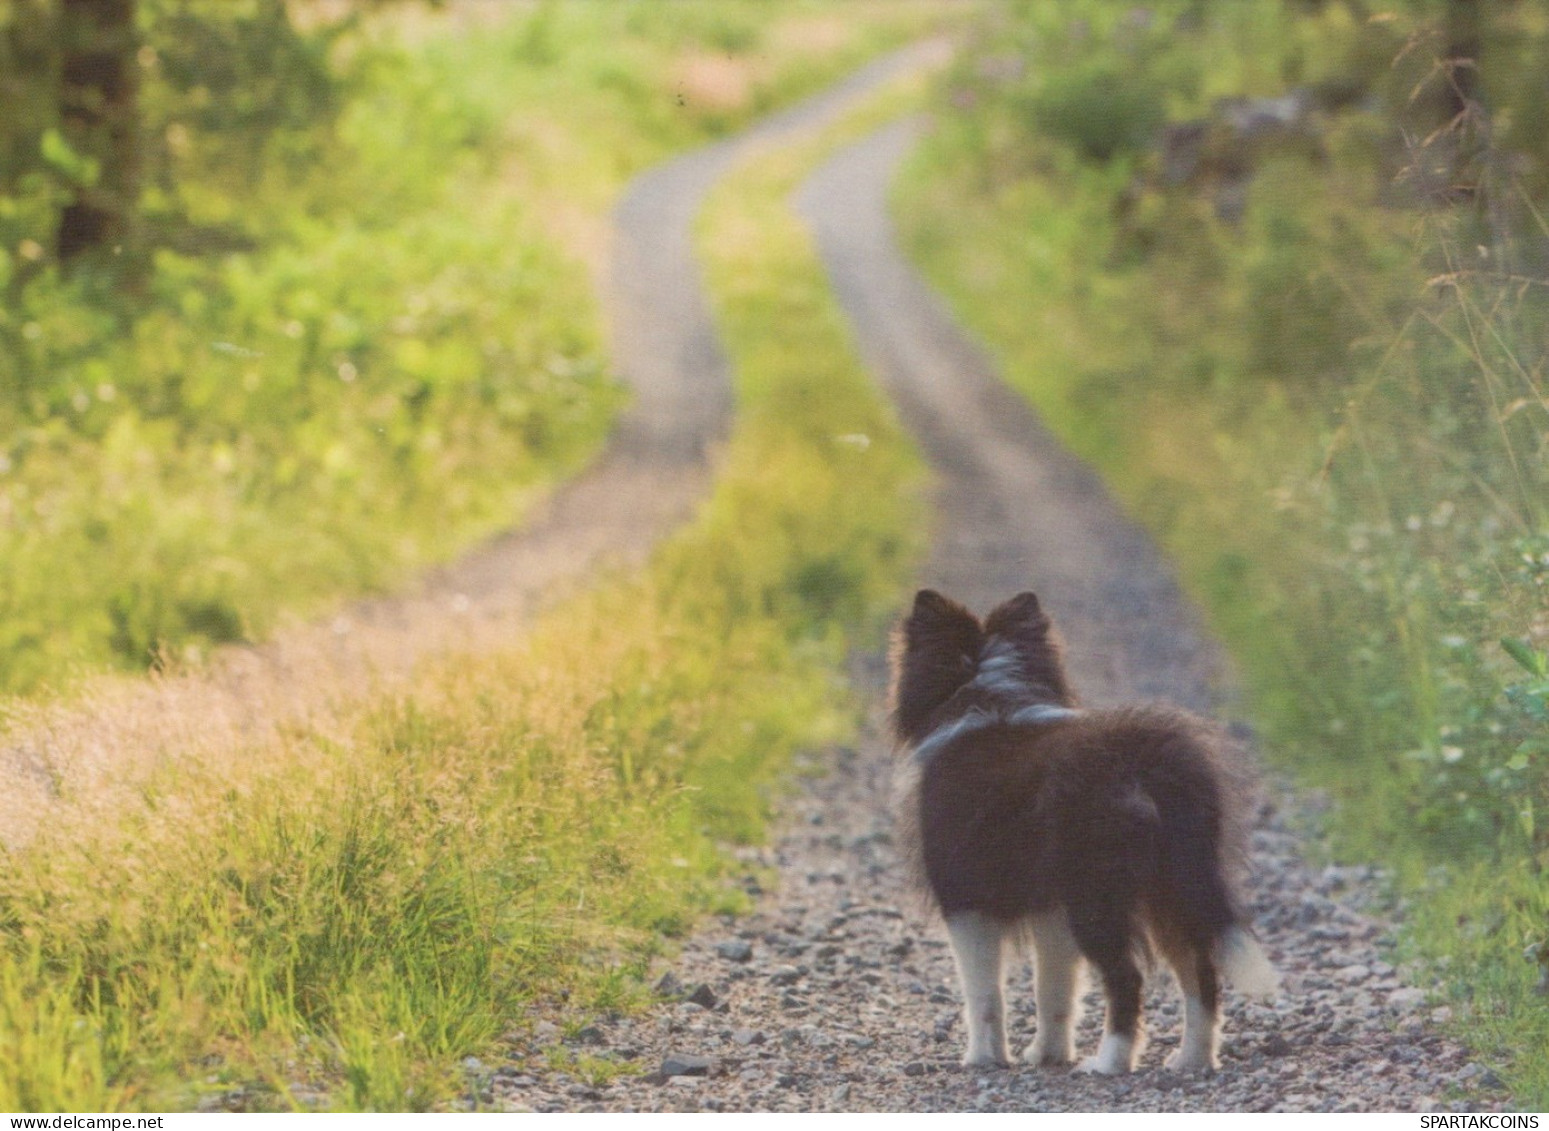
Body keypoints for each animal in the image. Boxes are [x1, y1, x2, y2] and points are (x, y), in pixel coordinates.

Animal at [892, 585, 1276, 1072]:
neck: (988, 694)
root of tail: (1143, 761)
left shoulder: (966, 902)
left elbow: (983, 994)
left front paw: (982, 1059)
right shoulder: (1050, 909)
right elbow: (1054, 989)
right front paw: (1048, 1055)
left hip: (1097, 892)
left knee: (1127, 977)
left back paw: (1109, 1062)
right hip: (1174, 883)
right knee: (1200, 969)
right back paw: (1192, 1059)